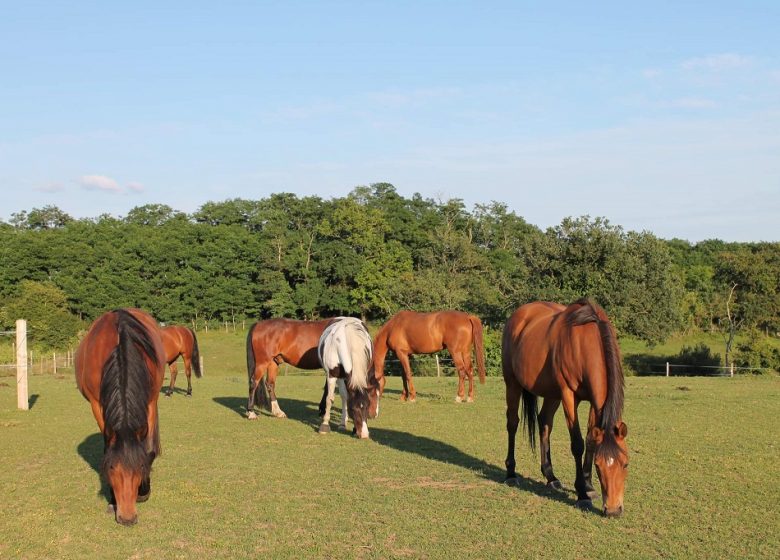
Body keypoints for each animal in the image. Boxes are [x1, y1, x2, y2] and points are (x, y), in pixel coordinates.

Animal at [74, 306, 166, 524]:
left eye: (140, 467)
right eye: (112, 469)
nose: (127, 518)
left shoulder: (149, 401)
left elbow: (148, 448)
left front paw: (144, 490)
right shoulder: (97, 405)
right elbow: (108, 447)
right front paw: (112, 500)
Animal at [502, 302, 632, 516]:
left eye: (626, 463)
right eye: (598, 466)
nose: (613, 510)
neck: (585, 340)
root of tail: (518, 315)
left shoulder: (593, 402)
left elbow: (591, 440)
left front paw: (588, 486)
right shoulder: (569, 396)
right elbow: (577, 444)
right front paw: (582, 495)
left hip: (551, 393)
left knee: (544, 422)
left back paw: (551, 477)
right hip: (512, 384)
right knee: (512, 423)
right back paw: (511, 473)